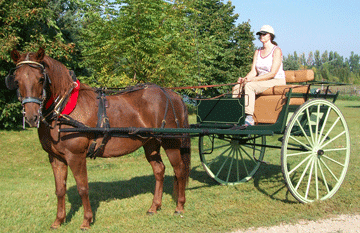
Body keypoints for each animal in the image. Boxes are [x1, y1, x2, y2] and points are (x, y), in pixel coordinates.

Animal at [7, 47, 191, 229]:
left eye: (40, 79)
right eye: (16, 80)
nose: (31, 117)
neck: (63, 109)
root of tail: (173, 95)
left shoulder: (76, 156)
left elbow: (82, 188)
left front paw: (86, 221)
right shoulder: (55, 158)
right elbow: (59, 190)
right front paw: (58, 221)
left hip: (170, 142)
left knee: (179, 170)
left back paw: (180, 206)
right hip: (151, 143)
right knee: (159, 170)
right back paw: (154, 207)